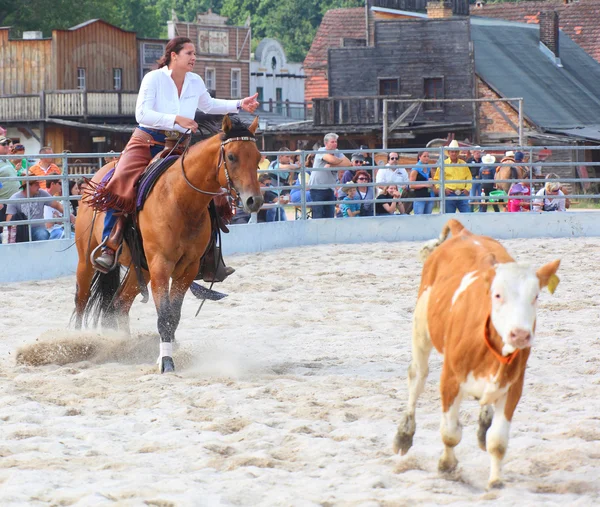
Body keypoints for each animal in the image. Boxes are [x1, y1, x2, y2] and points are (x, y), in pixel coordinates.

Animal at [74, 115, 264, 374]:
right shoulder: (161, 265)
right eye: (232, 156)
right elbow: (164, 315)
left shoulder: (187, 269)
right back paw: (76, 341)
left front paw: (165, 354)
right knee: (81, 301)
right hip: (86, 260)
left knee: (120, 303)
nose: (254, 200)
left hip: (140, 269)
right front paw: (166, 362)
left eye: (258, 157)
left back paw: (124, 346)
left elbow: (173, 316)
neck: (181, 199)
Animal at [396, 220, 560, 490]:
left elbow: (498, 442)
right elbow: (450, 433)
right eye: (497, 294)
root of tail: (464, 232)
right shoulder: (450, 379)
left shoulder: (513, 385)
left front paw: (496, 482)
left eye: (536, 296)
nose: (520, 334)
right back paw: (404, 434)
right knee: (417, 377)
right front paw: (447, 466)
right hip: (421, 328)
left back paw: (484, 423)